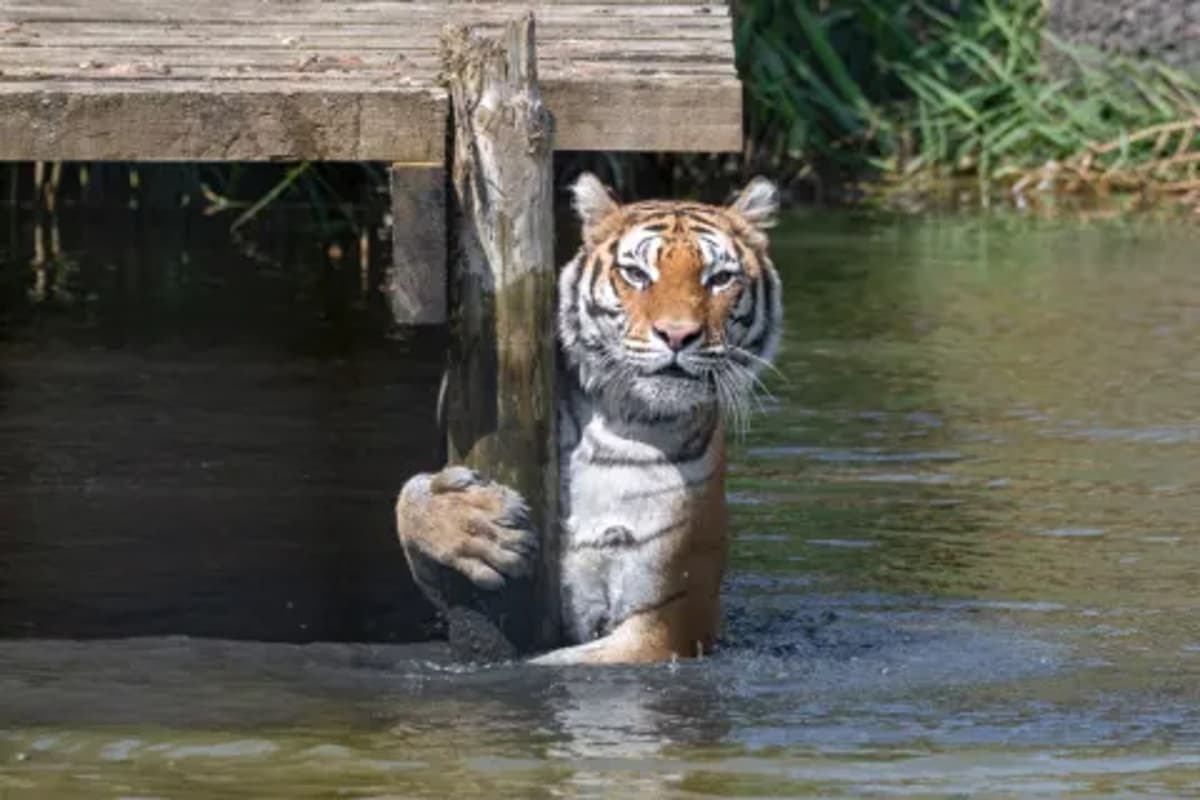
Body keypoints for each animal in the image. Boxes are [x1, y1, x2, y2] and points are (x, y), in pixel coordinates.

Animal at [395, 173, 783, 665]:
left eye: (719, 279)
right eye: (636, 274)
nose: (678, 335)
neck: (619, 424)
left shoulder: (671, 619)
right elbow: (407, 501)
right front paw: (471, 521)